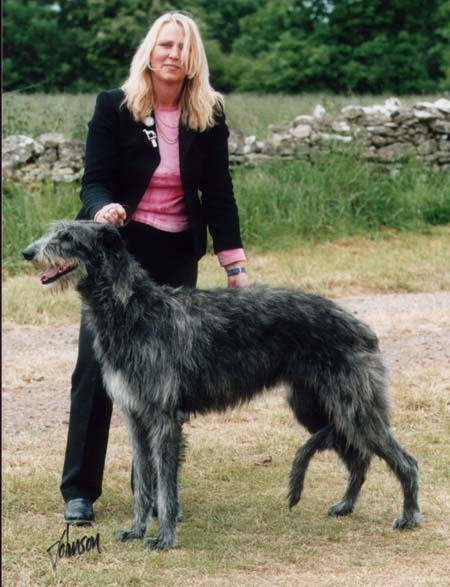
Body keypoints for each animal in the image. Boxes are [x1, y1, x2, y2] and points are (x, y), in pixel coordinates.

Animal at [22, 222, 420, 552]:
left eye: (67, 237)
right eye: (52, 231)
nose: (27, 251)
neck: (133, 309)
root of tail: (361, 326)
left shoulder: (164, 418)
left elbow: (166, 487)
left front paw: (164, 538)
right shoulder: (136, 416)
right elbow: (145, 484)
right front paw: (136, 530)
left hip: (354, 405)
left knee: (405, 461)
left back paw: (409, 516)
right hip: (314, 407)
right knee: (359, 458)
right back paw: (346, 505)